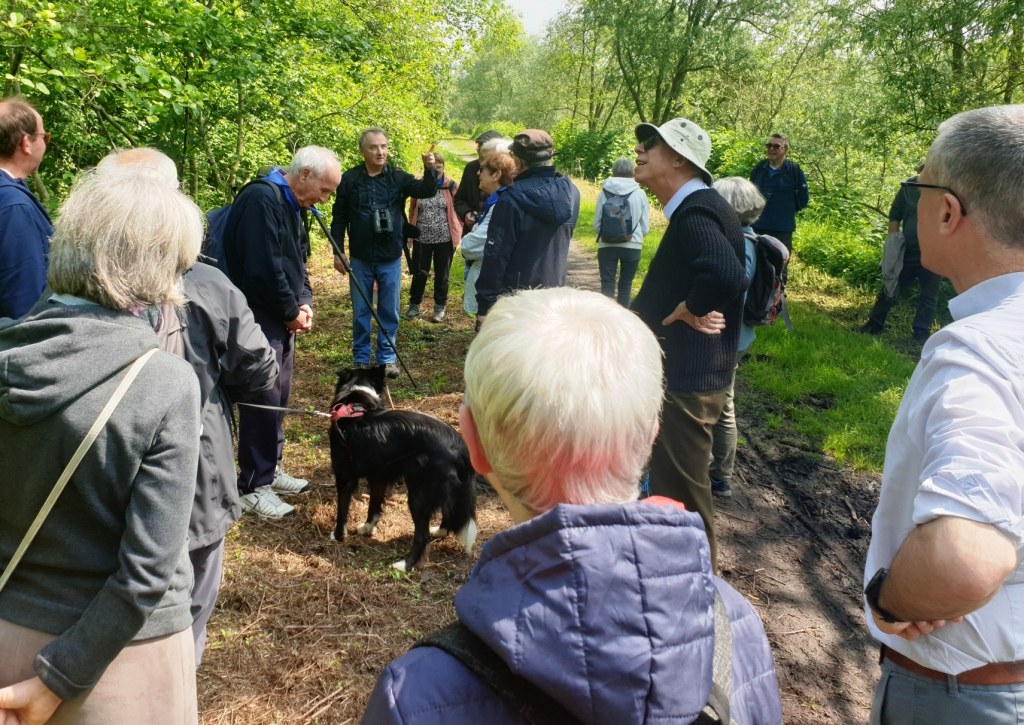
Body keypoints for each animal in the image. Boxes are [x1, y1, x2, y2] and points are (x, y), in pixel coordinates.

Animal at [327, 368, 479, 573]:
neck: (355, 404)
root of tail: (460, 447)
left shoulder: (344, 475)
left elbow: (342, 511)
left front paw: (337, 536)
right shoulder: (378, 477)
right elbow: (374, 506)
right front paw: (367, 528)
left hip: (419, 494)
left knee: (422, 536)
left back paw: (405, 565)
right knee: (448, 513)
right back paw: (439, 531)